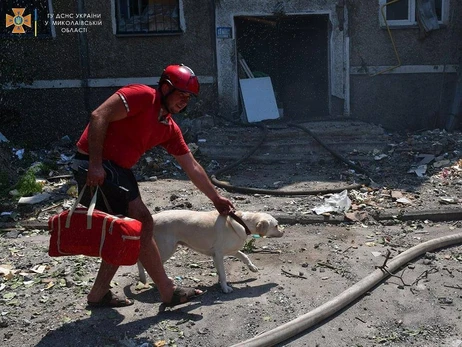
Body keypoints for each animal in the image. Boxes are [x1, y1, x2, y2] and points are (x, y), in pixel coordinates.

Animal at [137, 211, 284, 294]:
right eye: (276, 225)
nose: (283, 231)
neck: (243, 223)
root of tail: (151, 218)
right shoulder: (219, 254)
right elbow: (223, 274)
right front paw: (225, 288)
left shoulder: (228, 251)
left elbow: (244, 256)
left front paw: (252, 268)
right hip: (166, 249)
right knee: (147, 263)